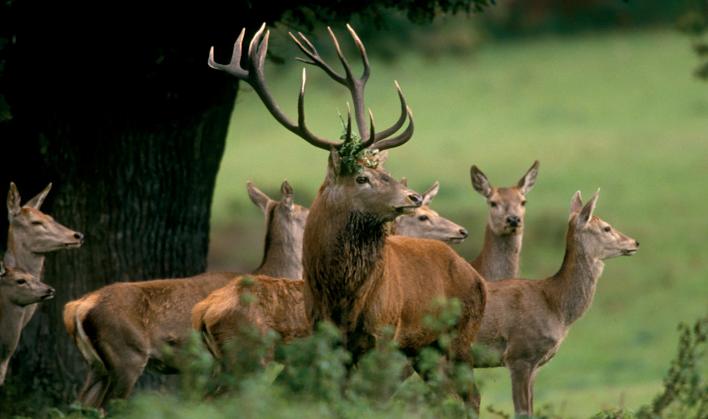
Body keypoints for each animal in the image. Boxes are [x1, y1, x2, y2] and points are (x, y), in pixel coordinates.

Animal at [471, 190, 639, 416]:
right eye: (606, 227)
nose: (634, 242)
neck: (554, 304)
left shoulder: (536, 364)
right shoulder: (519, 354)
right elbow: (522, 411)